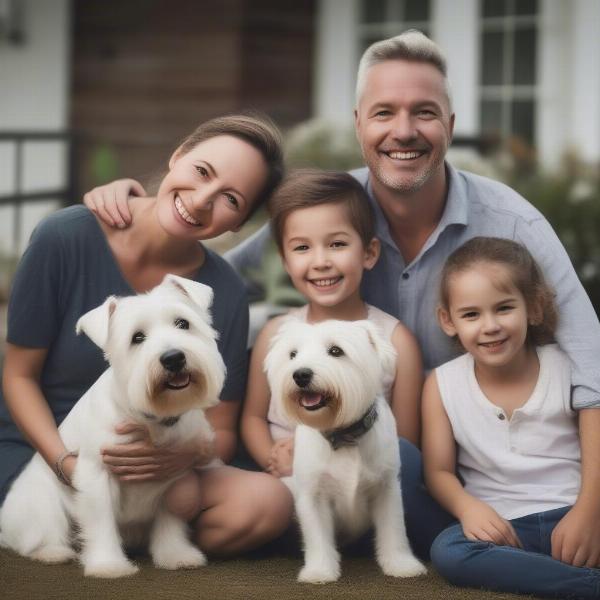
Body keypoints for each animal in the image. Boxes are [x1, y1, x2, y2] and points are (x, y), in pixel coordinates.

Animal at [0, 274, 225, 580]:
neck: (151, 419)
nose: (173, 358)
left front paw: (176, 556)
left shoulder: (175, 475)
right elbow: (100, 523)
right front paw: (108, 565)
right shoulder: (97, 475)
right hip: (41, 505)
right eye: (137, 338)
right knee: (40, 536)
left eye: (183, 323)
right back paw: (53, 552)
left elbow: (171, 522)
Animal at [264, 322, 424, 584]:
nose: (300, 374)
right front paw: (319, 571)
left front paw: (401, 565)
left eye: (336, 351)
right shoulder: (313, 495)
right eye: (293, 354)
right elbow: (317, 536)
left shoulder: (386, 488)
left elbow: (394, 528)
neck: (343, 436)